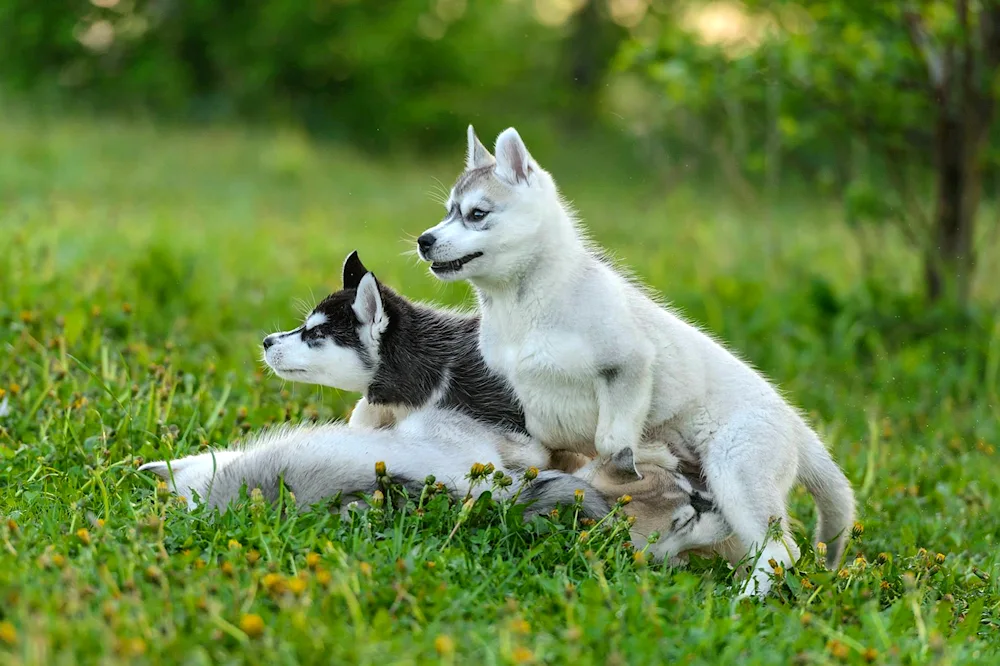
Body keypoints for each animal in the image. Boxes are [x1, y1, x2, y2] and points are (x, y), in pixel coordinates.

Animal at [414, 127, 852, 592]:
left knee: (780, 552)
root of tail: (794, 422)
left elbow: (611, 441)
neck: (522, 305)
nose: (423, 241)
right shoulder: (527, 395)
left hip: (737, 476)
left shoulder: (629, 365)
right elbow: (546, 441)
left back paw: (744, 598)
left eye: (476, 214)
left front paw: (630, 467)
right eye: (447, 212)